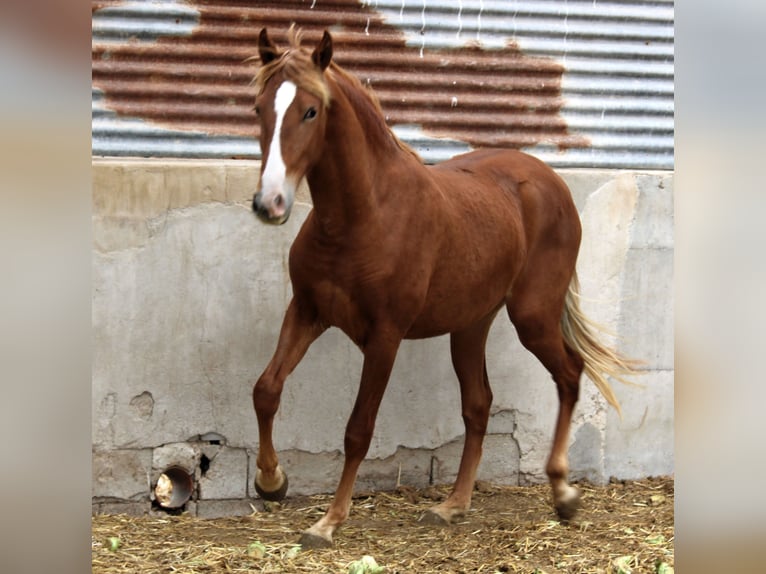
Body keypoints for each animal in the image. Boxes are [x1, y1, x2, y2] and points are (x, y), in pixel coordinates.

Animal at [249, 28, 640, 548]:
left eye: (311, 111)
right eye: (259, 108)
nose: (269, 203)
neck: (364, 215)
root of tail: (548, 181)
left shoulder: (385, 337)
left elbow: (358, 429)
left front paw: (328, 522)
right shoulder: (308, 312)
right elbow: (266, 390)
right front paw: (272, 481)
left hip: (532, 318)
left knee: (570, 374)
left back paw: (562, 493)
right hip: (470, 326)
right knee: (478, 405)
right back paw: (453, 505)